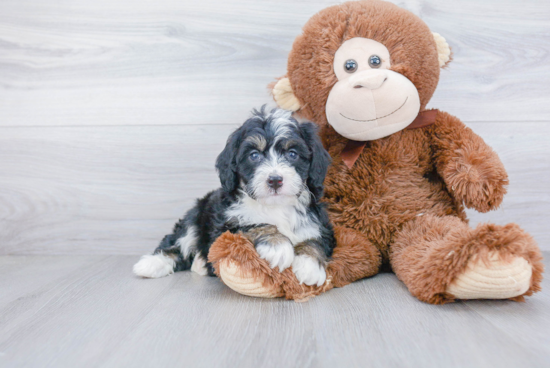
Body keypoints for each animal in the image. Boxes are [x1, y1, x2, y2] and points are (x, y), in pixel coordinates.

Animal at [134, 108, 336, 286]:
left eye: (293, 154)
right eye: (254, 155)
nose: (275, 180)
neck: (275, 206)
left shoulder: (322, 225)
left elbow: (316, 240)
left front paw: (310, 265)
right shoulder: (224, 228)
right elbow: (254, 224)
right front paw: (277, 245)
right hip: (196, 214)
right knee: (177, 243)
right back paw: (151, 264)